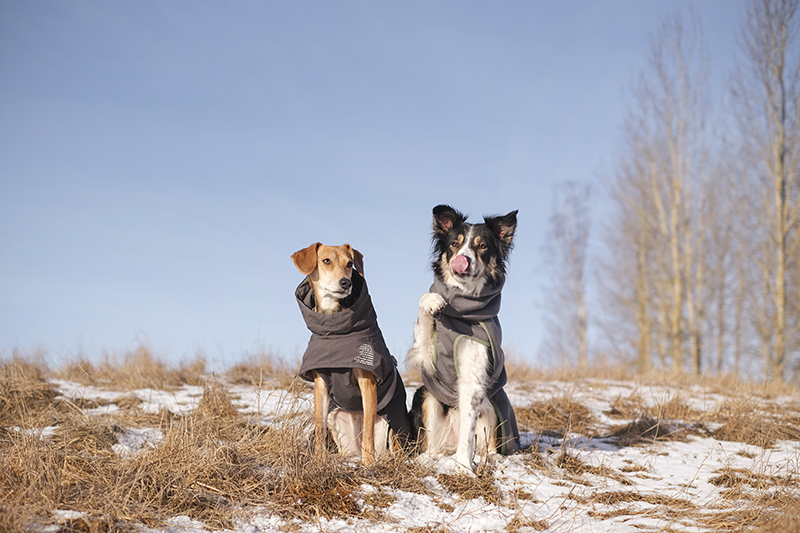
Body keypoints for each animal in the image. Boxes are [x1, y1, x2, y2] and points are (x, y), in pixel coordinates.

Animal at [406, 205, 520, 474]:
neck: (462, 307)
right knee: (431, 446)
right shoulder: (427, 354)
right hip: (426, 395)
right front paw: (433, 301)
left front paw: (464, 467)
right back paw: (427, 458)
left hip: (492, 405)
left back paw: (491, 457)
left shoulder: (474, 375)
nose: (463, 261)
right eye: (455, 244)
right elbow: (424, 311)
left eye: (482, 246)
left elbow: (469, 429)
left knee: (485, 443)